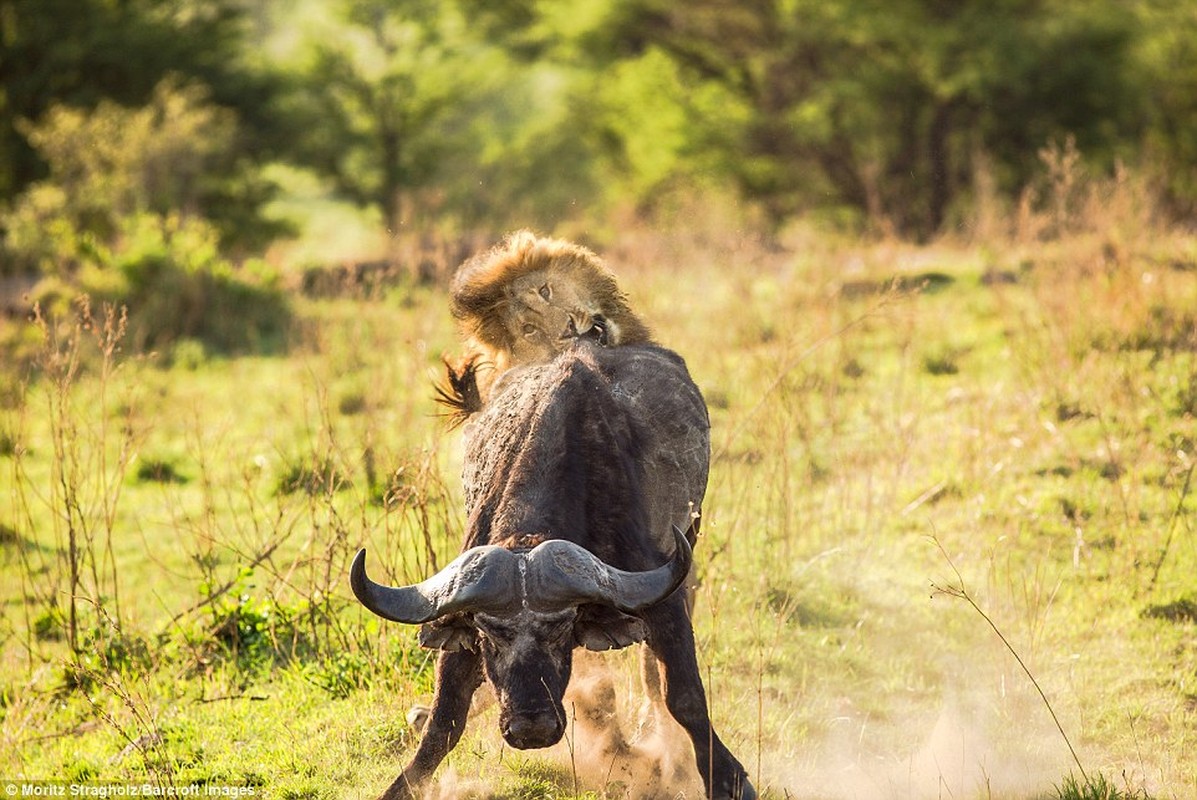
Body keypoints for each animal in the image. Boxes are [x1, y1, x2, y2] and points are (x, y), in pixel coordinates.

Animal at [349, 340, 751, 800]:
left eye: (560, 630)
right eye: (489, 634)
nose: (532, 728)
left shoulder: (661, 596)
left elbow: (684, 697)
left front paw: (727, 778)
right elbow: (444, 719)